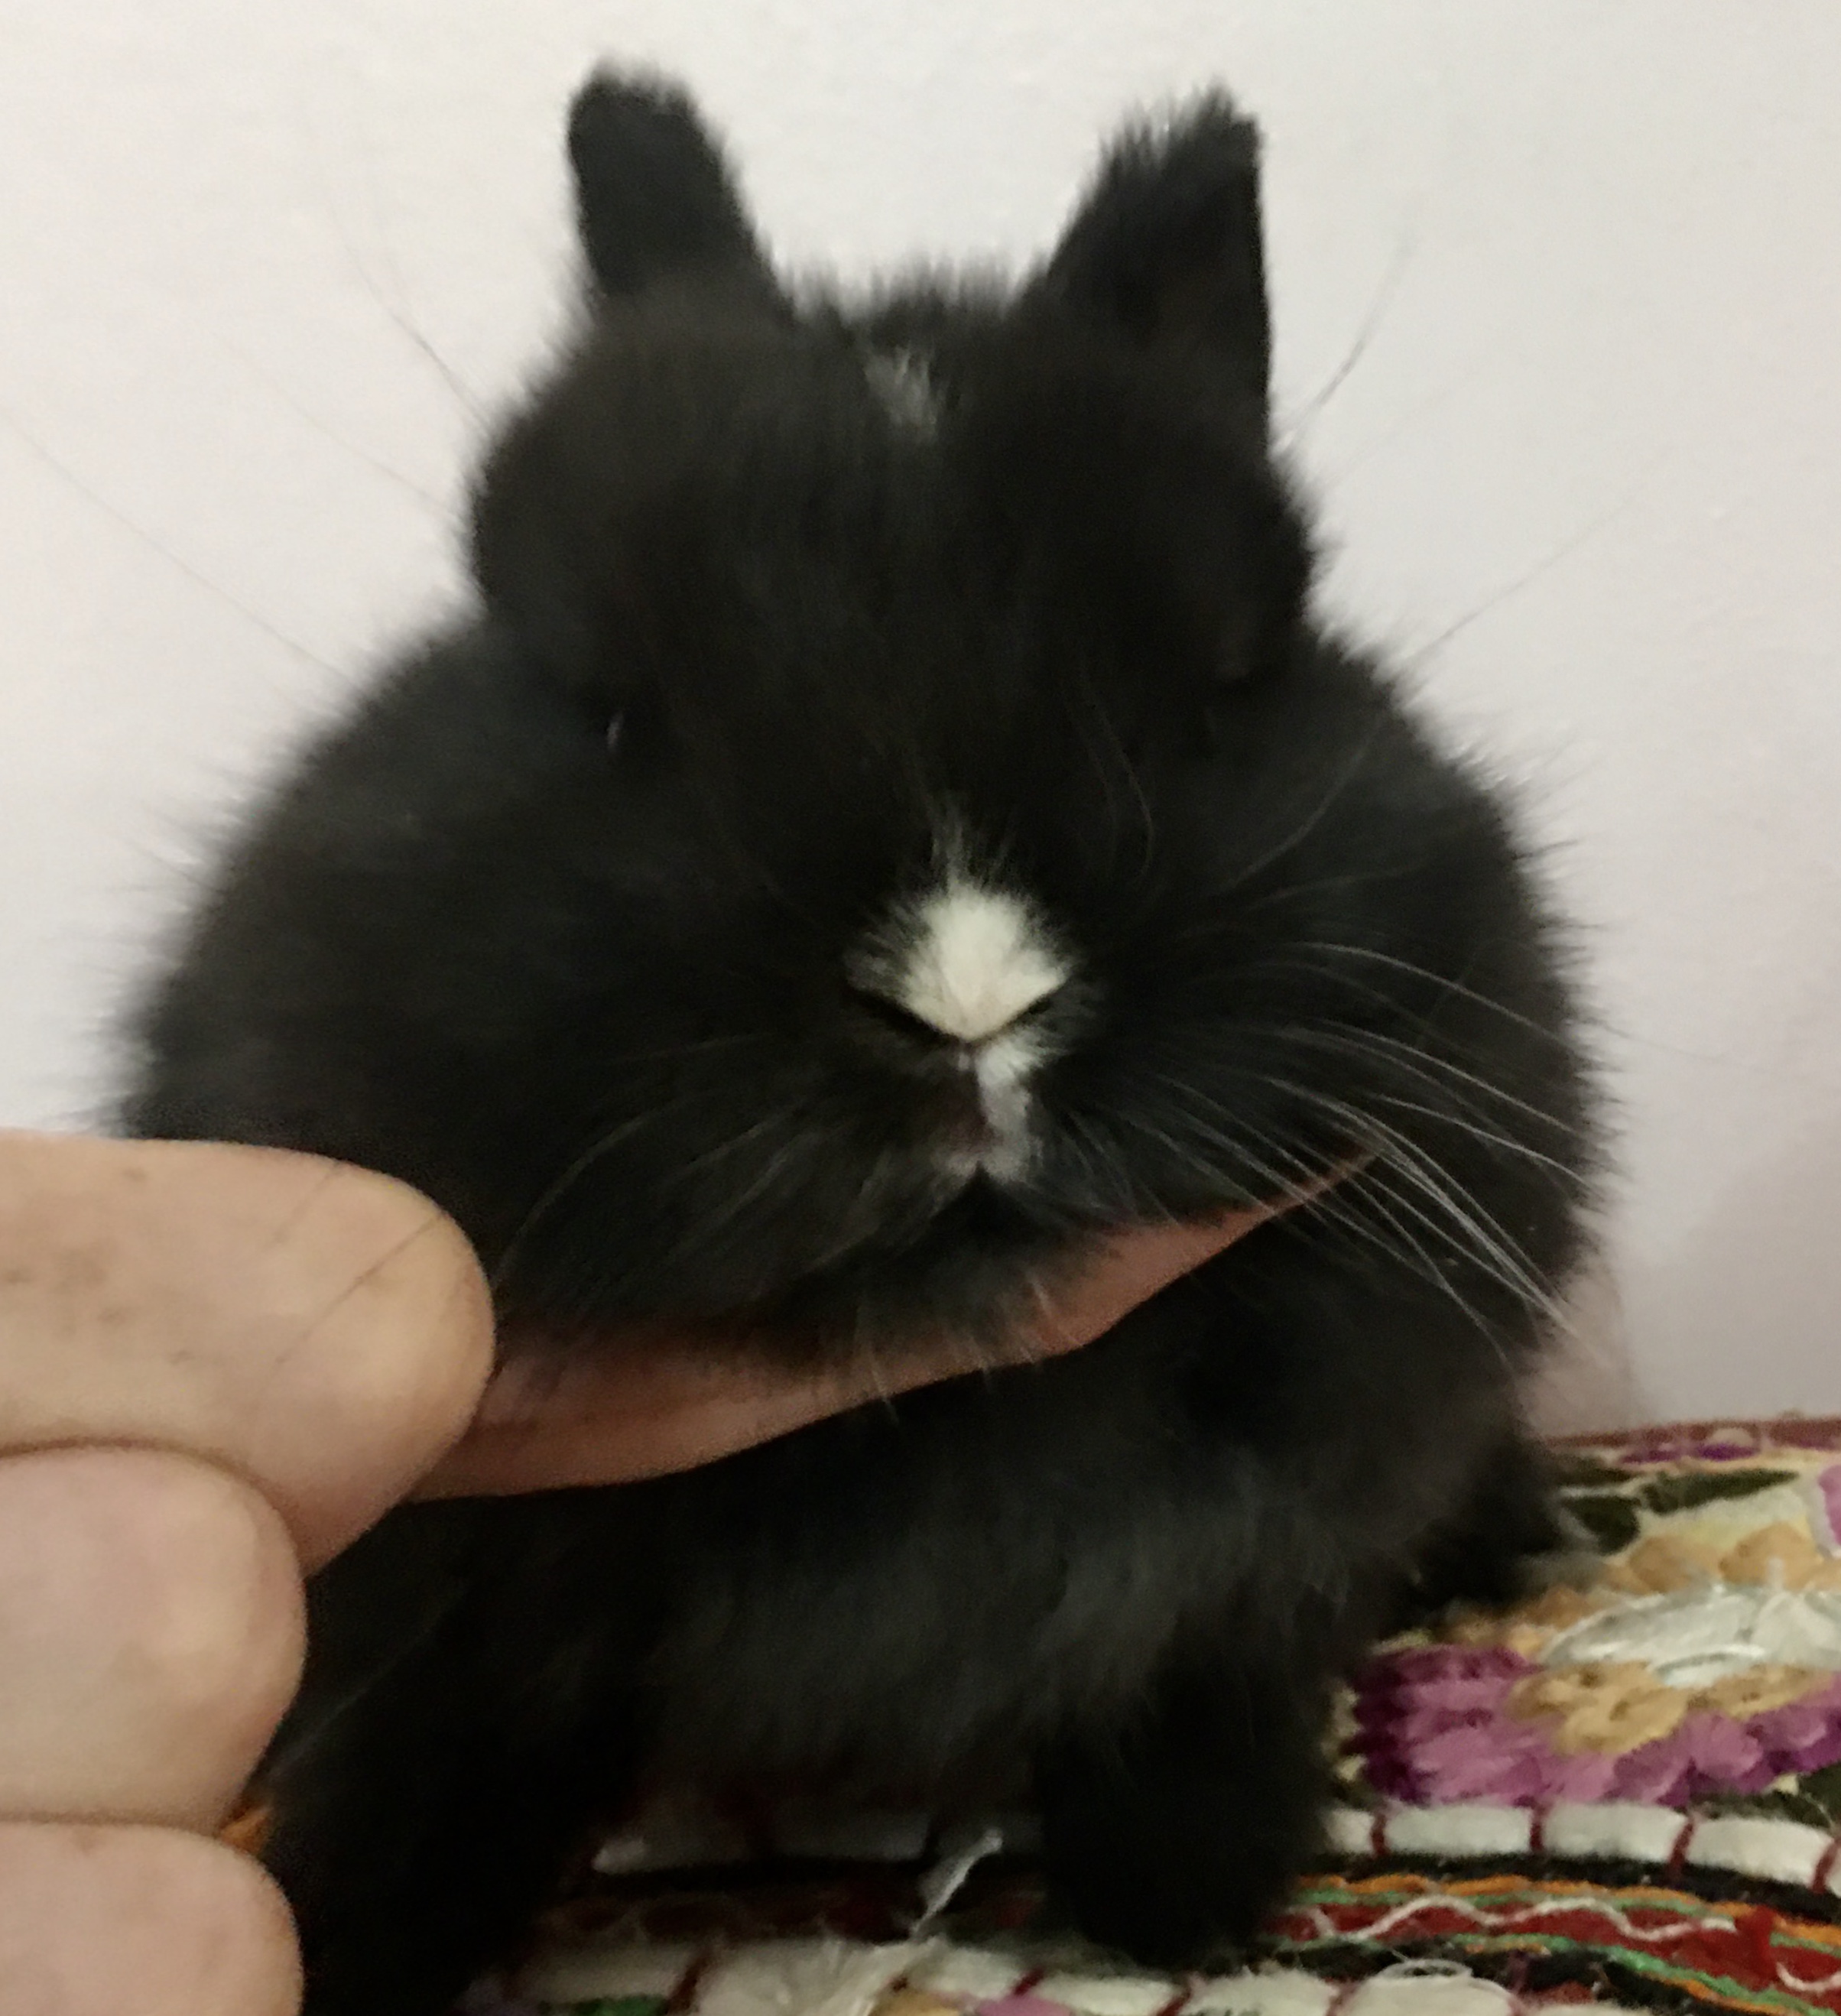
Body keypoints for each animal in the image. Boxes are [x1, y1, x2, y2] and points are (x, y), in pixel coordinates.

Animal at [121, 71, 1600, 2016]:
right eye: (606, 703)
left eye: (1220, 684)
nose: (967, 1001)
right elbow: (434, 1743)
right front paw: (336, 1933)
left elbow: (1211, 1654)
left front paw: (1190, 1889)